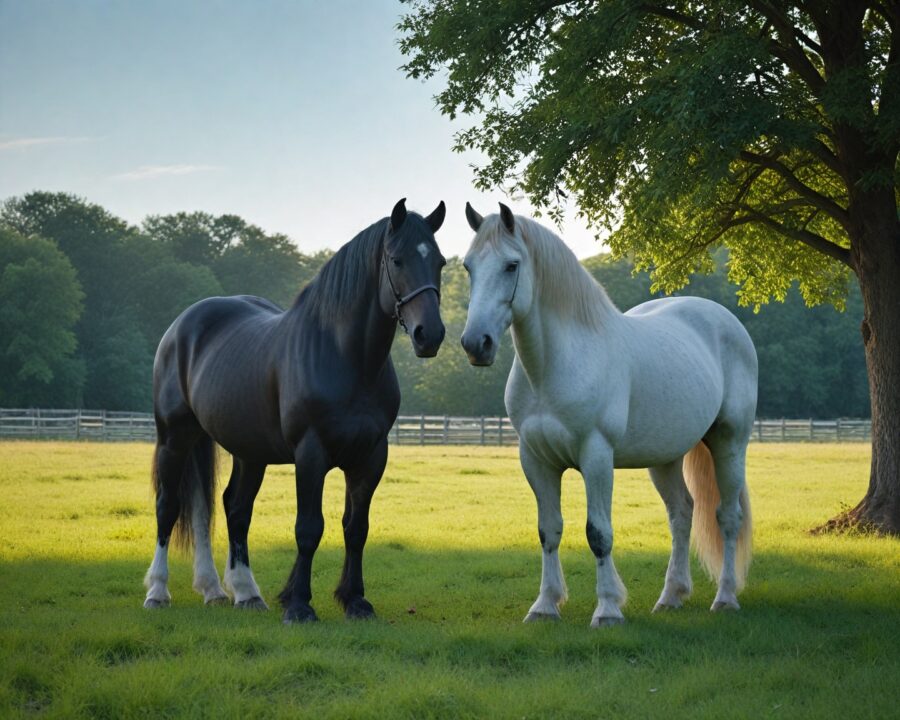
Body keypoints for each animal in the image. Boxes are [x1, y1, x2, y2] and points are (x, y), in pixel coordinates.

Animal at [143, 198, 447, 623]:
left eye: (440, 261)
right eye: (396, 259)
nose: (429, 335)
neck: (347, 359)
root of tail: (181, 327)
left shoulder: (371, 457)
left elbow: (357, 528)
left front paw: (355, 600)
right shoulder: (310, 453)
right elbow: (309, 528)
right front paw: (300, 604)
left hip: (246, 451)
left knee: (227, 509)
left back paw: (235, 592)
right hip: (174, 436)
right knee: (168, 506)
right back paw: (158, 591)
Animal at [460, 203, 756, 627]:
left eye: (511, 265)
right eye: (468, 266)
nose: (475, 344)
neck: (555, 365)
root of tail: (724, 319)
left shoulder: (596, 456)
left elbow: (598, 533)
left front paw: (608, 610)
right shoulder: (535, 460)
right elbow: (548, 530)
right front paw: (545, 605)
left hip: (729, 442)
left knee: (727, 517)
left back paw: (726, 598)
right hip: (665, 457)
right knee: (682, 514)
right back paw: (671, 596)